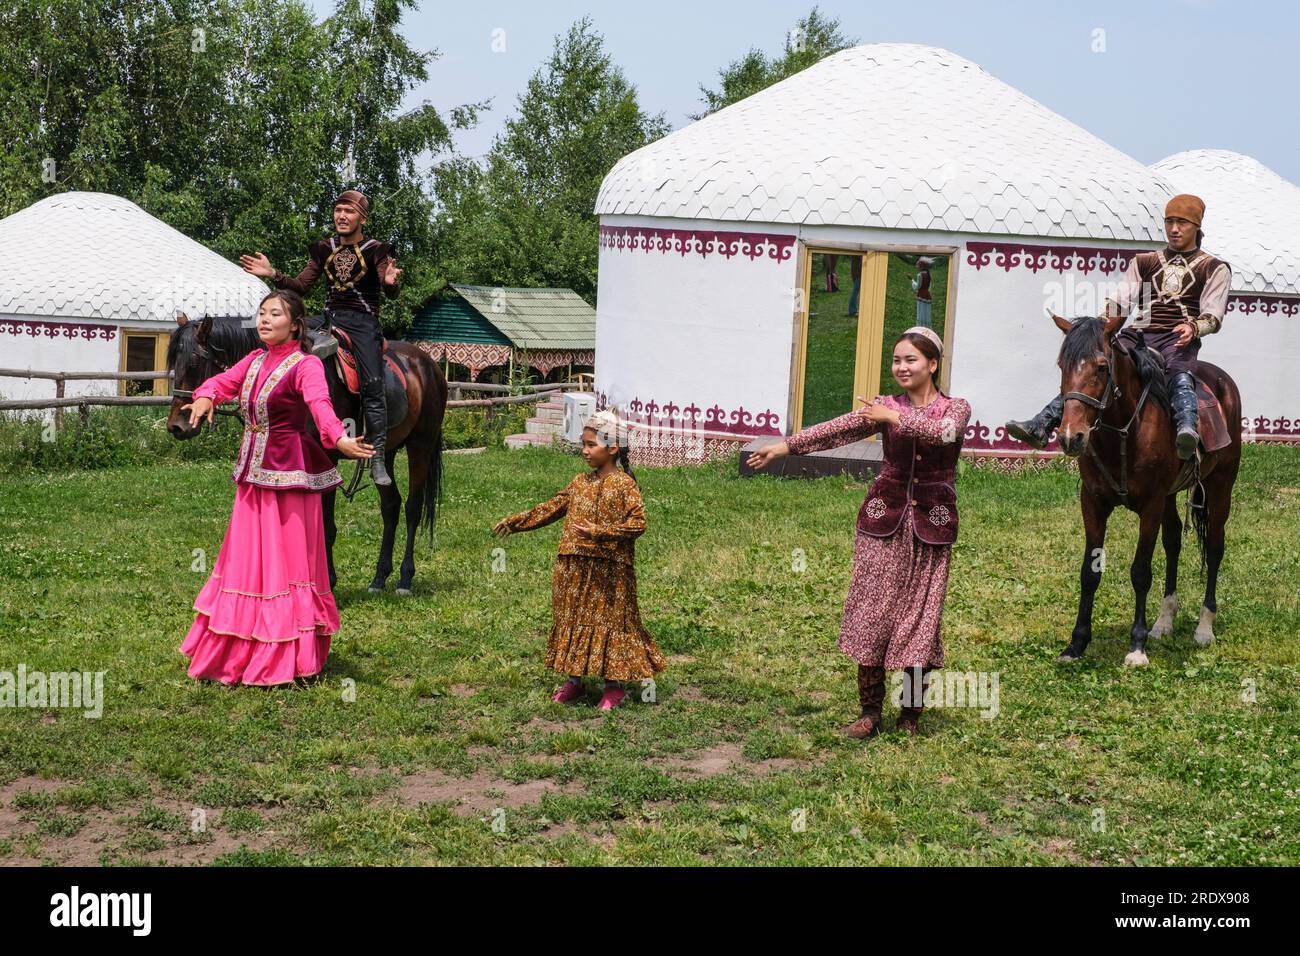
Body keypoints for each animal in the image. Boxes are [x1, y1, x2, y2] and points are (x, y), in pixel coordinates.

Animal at [1045, 312, 1237, 665]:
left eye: (1102, 367)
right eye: (1062, 365)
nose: (1070, 437)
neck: (1123, 433)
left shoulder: (1150, 505)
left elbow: (1141, 572)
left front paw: (1137, 646)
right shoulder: (1093, 502)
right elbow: (1089, 572)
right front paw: (1076, 644)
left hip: (1221, 485)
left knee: (1215, 547)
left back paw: (1204, 628)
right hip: (1172, 496)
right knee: (1174, 542)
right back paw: (1163, 622)